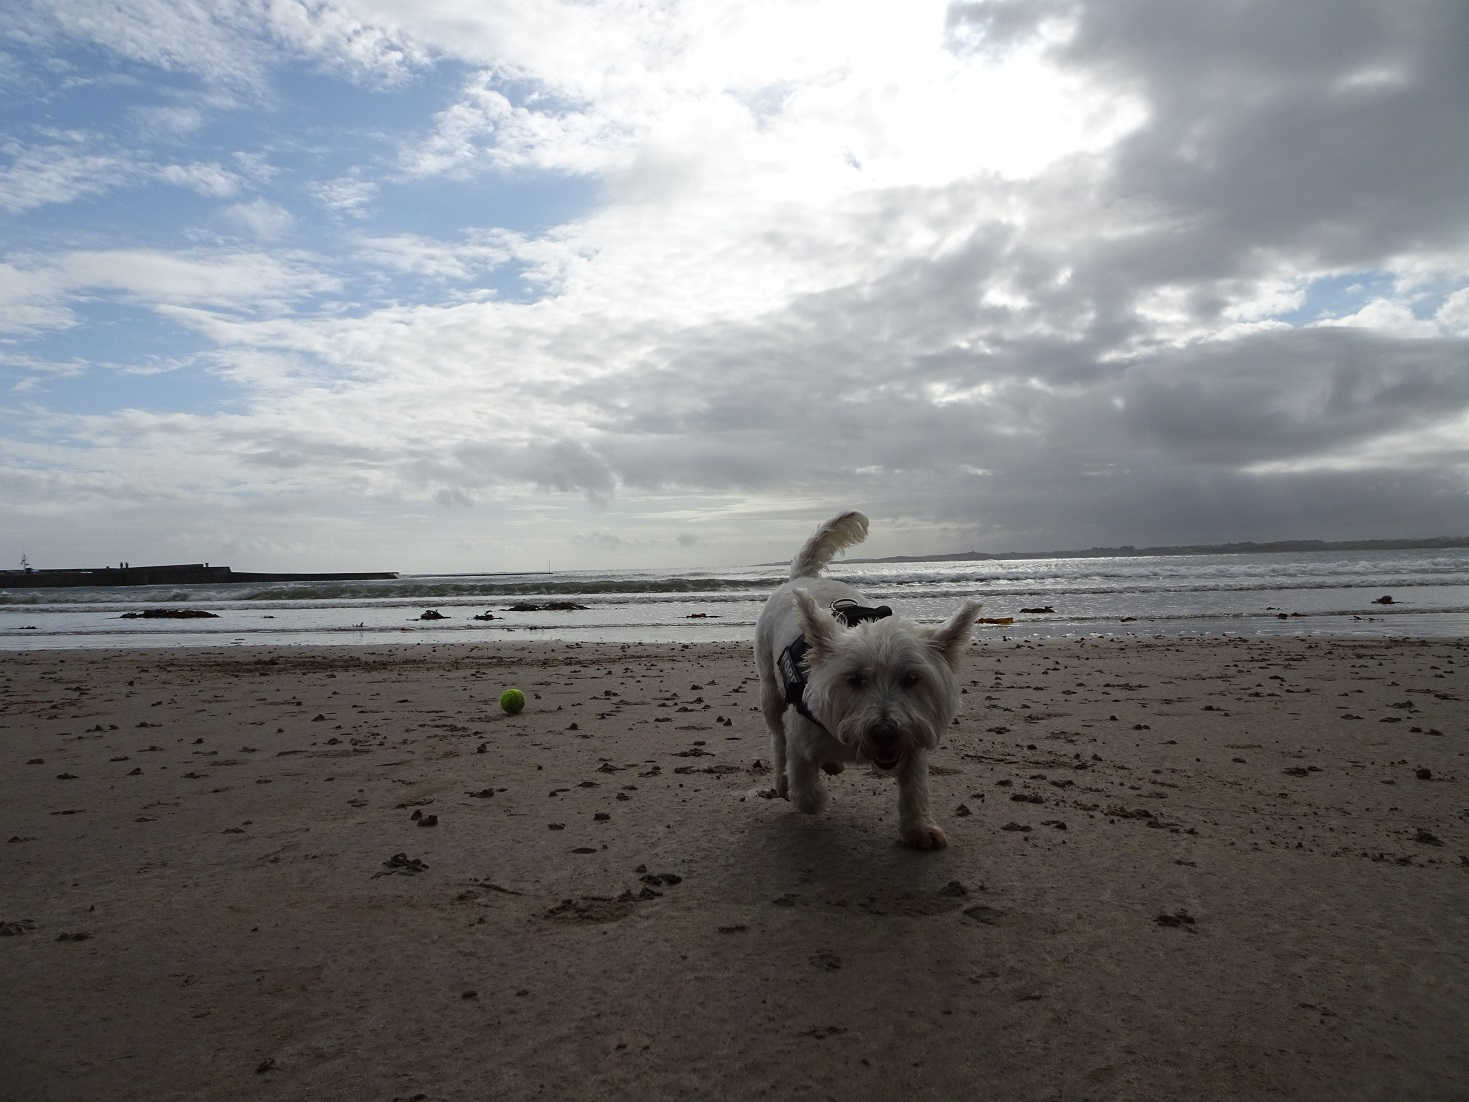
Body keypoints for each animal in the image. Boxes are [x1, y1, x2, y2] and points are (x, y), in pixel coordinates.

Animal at [752, 514, 981, 852]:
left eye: (911, 679)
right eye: (854, 679)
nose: (885, 732)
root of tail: (802, 578)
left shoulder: (913, 739)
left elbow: (915, 787)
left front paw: (919, 828)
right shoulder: (801, 739)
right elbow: (805, 789)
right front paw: (811, 797)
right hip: (770, 688)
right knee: (776, 736)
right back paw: (782, 780)